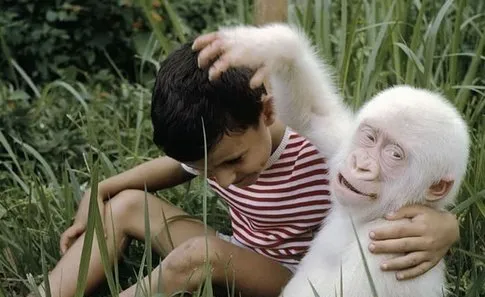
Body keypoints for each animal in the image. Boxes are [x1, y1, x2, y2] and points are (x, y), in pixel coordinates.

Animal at [193, 23, 468, 296]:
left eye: (394, 155)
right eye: (369, 137)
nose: (361, 164)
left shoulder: (386, 251)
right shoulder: (342, 142)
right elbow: (313, 113)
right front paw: (263, 46)